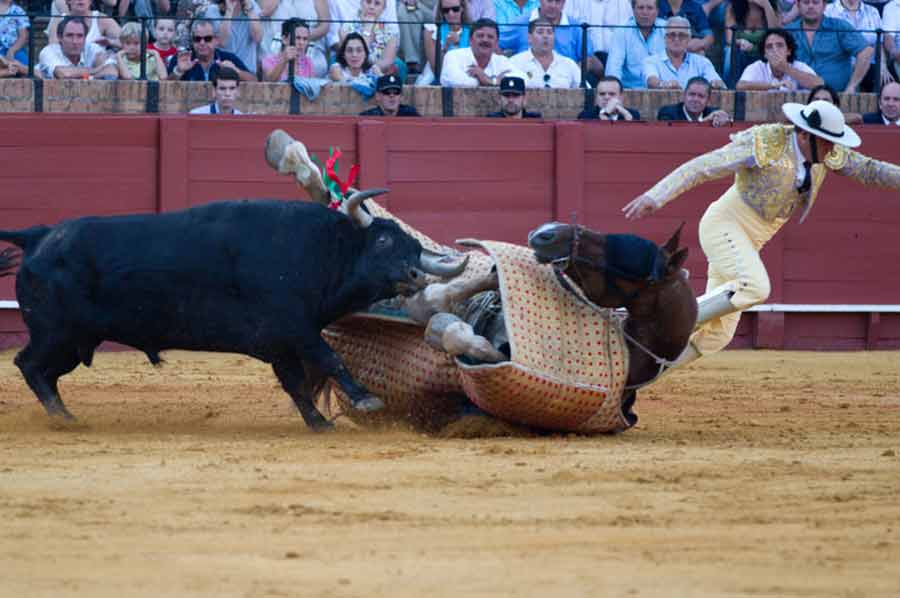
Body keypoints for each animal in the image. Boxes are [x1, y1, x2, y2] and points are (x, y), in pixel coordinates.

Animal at [0, 192, 464, 432]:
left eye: (415, 250)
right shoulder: (294, 328)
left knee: (43, 372)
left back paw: (65, 416)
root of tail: (39, 235)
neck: (320, 249)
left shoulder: (279, 343)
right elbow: (329, 359)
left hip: (76, 339)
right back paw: (64, 419)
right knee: (29, 365)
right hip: (57, 332)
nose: (414, 274)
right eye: (383, 242)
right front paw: (366, 400)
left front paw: (319, 424)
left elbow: (296, 384)